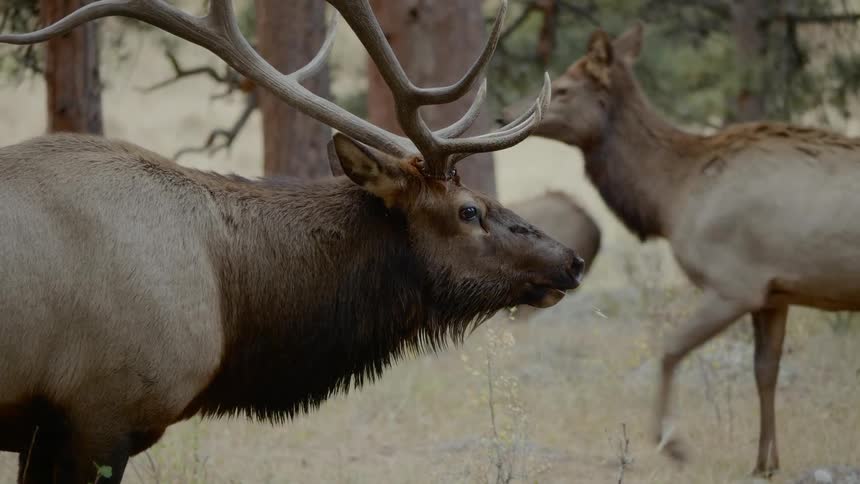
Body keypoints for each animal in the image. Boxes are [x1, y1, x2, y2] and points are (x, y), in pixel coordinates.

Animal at [503, 21, 860, 477]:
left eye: (563, 88)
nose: (505, 114)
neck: (669, 199)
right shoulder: (774, 293)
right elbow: (765, 371)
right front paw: (765, 462)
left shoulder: (733, 284)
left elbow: (670, 349)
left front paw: (673, 443)